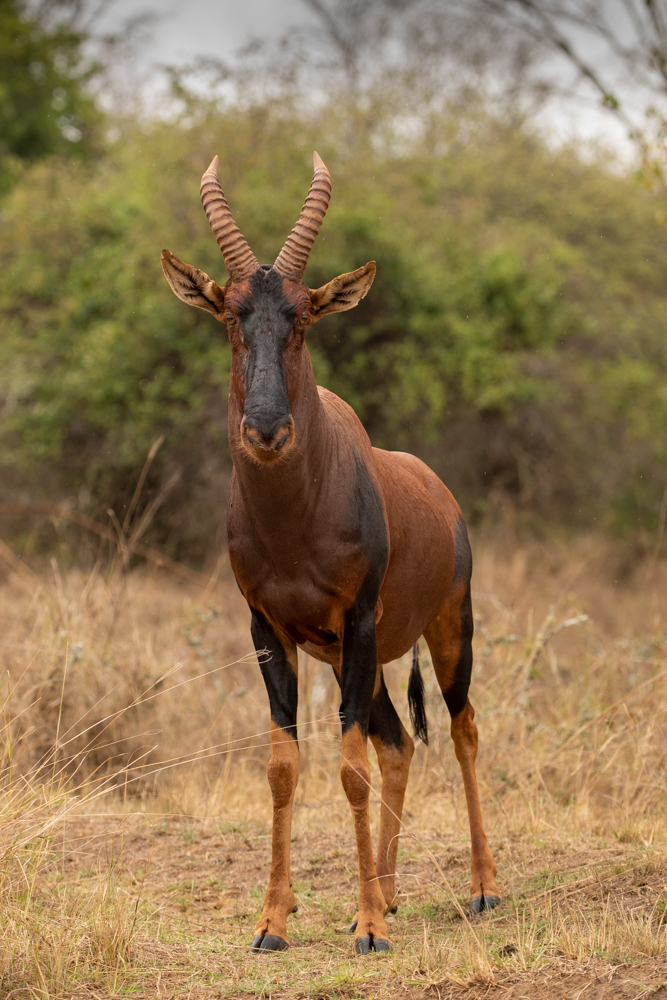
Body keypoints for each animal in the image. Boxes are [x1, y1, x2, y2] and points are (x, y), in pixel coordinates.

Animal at [160, 152, 500, 956]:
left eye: (304, 316)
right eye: (230, 316)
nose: (265, 429)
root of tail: (442, 495)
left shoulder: (360, 619)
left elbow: (348, 771)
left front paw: (368, 931)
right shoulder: (268, 631)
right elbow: (285, 768)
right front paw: (272, 923)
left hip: (444, 629)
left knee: (462, 730)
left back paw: (479, 889)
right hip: (362, 660)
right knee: (399, 743)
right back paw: (386, 894)